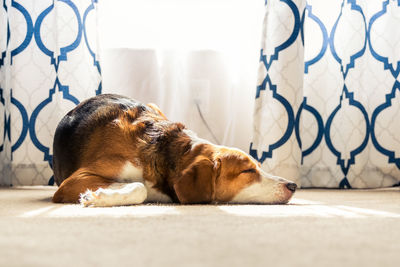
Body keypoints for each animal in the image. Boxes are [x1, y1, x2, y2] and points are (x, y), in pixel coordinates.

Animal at [52, 94, 296, 207]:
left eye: (259, 167)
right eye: (247, 171)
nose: (293, 185)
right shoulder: (73, 181)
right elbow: (139, 187)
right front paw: (98, 197)